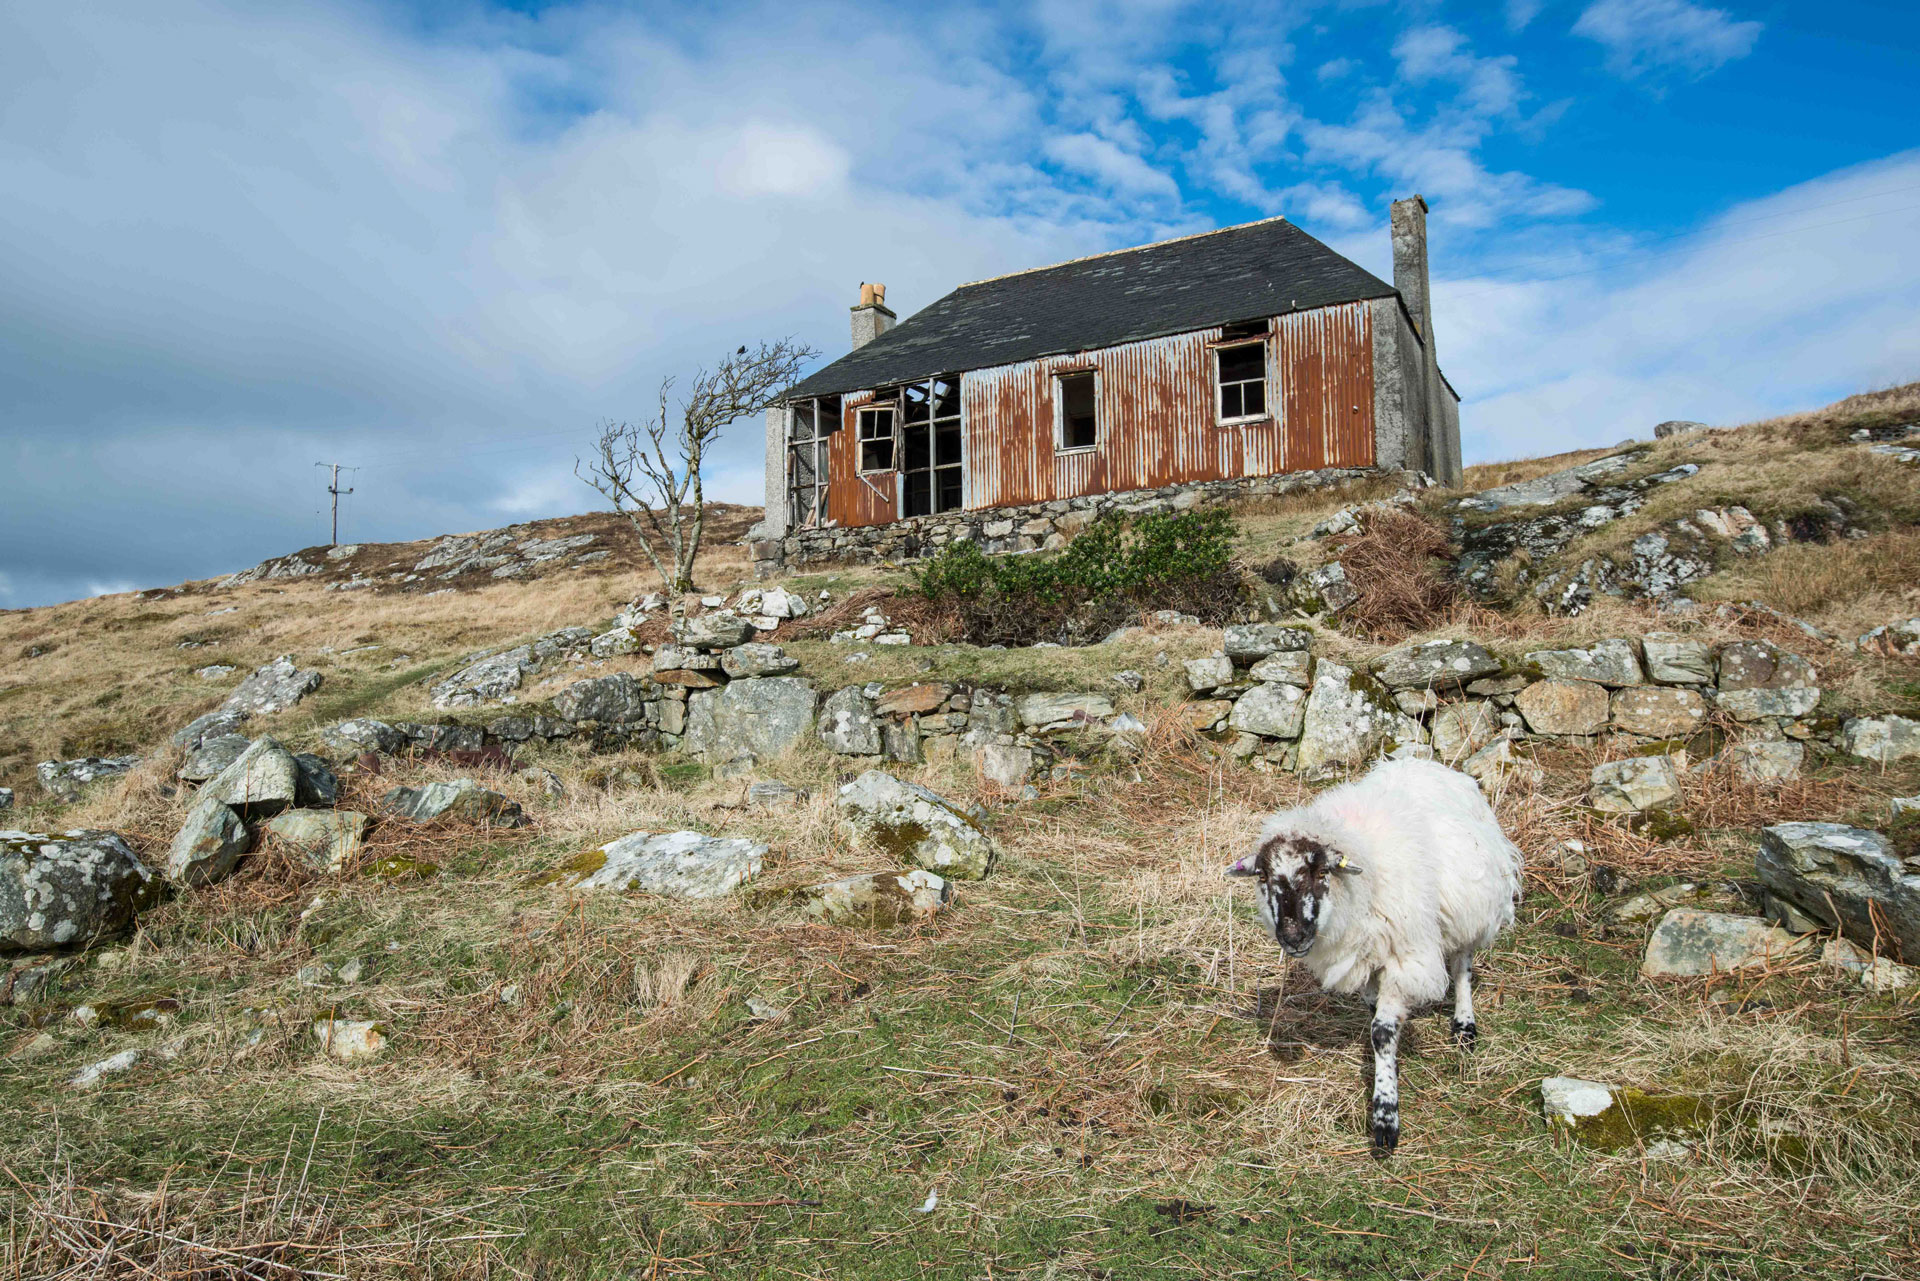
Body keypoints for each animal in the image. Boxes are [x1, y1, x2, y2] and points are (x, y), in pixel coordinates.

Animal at [1228, 756, 1528, 1160]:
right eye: (1263, 876)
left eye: (1320, 871)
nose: (1293, 938)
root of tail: (1428, 762)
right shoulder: (1363, 957)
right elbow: (1376, 1010)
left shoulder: (1405, 954)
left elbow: (1382, 1031)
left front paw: (1386, 1114)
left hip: (1470, 902)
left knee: (1462, 963)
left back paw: (1464, 1025)